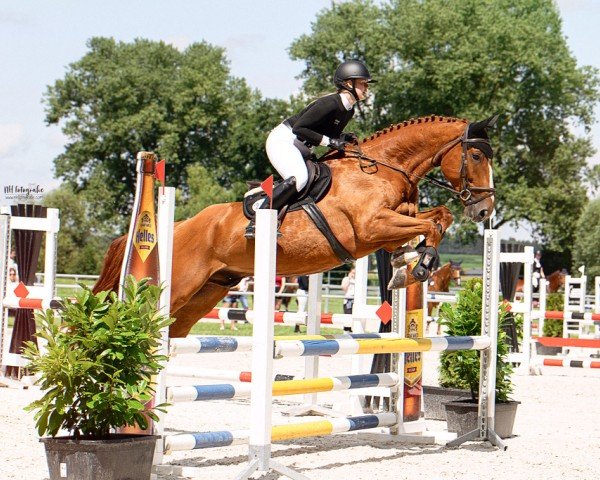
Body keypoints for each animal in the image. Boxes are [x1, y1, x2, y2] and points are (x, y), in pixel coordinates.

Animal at [94, 115, 496, 338]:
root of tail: (176, 227)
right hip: (179, 286)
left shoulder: (397, 218)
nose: (484, 210)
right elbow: (433, 225)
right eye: (476, 156)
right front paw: (419, 266)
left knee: (173, 332)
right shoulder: (371, 228)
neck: (381, 167)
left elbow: (438, 218)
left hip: (207, 291)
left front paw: (405, 265)